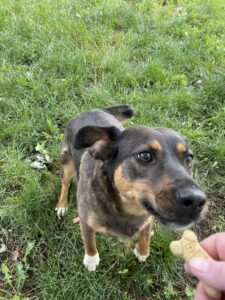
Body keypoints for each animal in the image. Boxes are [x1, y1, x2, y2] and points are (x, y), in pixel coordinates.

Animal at [55, 105, 207, 272]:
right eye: (145, 156)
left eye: (189, 158)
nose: (196, 200)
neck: (126, 207)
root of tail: (94, 109)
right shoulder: (85, 222)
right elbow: (90, 244)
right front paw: (91, 260)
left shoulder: (148, 217)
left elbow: (145, 234)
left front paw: (143, 250)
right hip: (66, 163)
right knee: (65, 184)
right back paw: (62, 205)